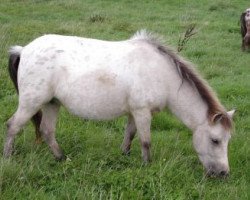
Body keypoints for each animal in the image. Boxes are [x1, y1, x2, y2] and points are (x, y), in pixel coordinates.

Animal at [4, 30, 234, 177]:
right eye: (215, 140)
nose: (223, 173)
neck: (161, 73)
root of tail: (23, 50)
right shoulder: (142, 112)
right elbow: (146, 141)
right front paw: (147, 165)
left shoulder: (134, 112)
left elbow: (130, 134)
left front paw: (125, 155)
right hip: (31, 102)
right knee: (12, 126)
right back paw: (7, 158)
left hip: (52, 103)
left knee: (47, 130)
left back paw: (61, 158)